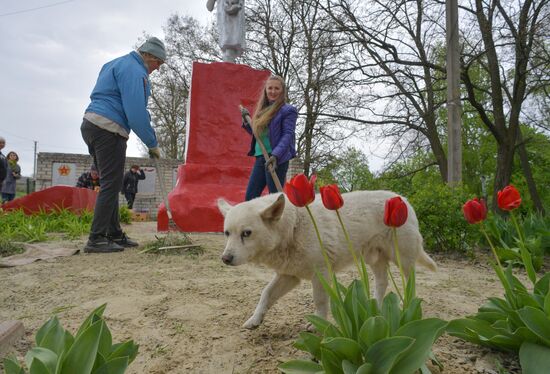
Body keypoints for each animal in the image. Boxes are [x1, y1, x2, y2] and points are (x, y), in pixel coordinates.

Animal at [218, 191, 438, 328]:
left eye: (246, 233)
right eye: (227, 233)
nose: (225, 259)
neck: (293, 228)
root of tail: (403, 200)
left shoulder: (321, 274)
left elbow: (320, 301)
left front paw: (318, 325)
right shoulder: (288, 276)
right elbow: (266, 294)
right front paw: (255, 319)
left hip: (403, 259)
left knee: (410, 282)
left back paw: (407, 305)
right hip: (374, 259)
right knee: (382, 281)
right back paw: (375, 305)